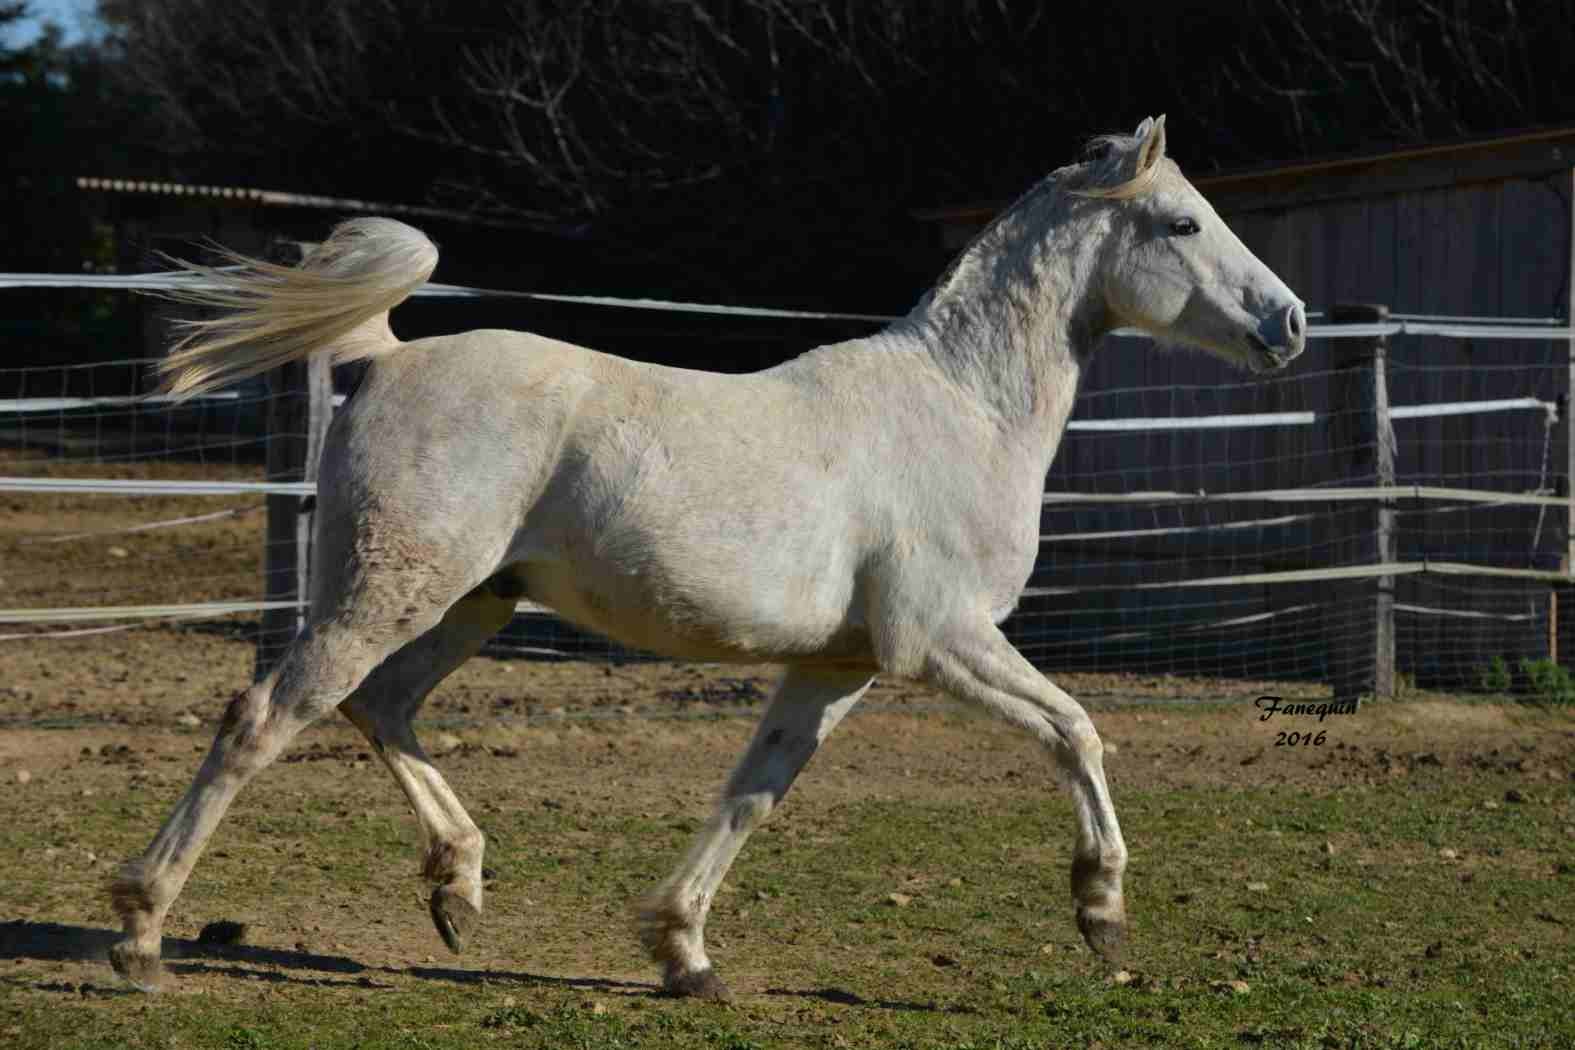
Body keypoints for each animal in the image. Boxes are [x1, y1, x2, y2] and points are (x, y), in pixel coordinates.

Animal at [111, 118, 1304, 1001]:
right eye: (1182, 220)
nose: (1287, 323)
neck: (962, 411)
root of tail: (389, 358)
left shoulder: (838, 666)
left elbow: (752, 795)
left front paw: (682, 954)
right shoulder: (942, 642)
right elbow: (1076, 731)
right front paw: (1101, 913)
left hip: (469, 604)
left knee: (382, 709)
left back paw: (458, 892)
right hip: (387, 595)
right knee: (266, 718)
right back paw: (141, 935)